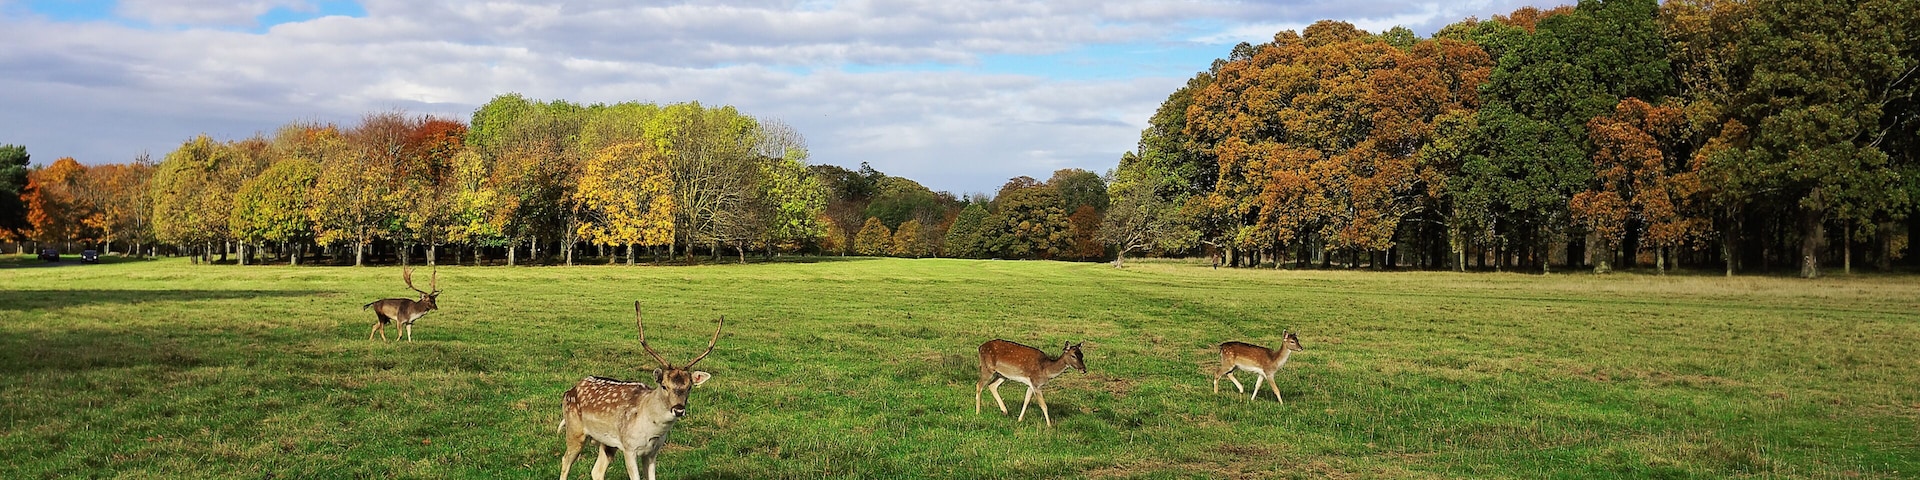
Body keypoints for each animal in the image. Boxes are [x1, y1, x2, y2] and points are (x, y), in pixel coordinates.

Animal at [559, 302, 722, 480]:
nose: (678, 409)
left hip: (607, 443)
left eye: (689, 387)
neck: (653, 431)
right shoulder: (629, 447)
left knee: (597, 470)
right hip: (574, 430)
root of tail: (570, 391)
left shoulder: (653, 451)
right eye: (664, 385)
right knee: (565, 461)